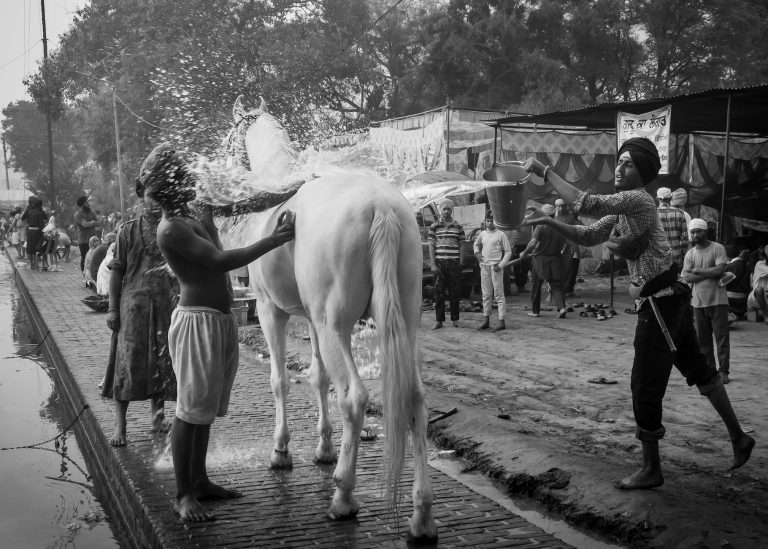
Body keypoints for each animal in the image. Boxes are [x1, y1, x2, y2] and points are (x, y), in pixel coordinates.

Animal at [213, 97, 438, 540]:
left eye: (230, 137)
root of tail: (381, 206)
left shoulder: (271, 311)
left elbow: (281, 380)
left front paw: (282, 450)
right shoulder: (312, 320)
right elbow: (316, 378)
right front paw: (323, 448)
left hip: (336, 327)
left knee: (353, 396)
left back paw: (343, 497)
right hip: (403, 324)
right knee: (415, 400)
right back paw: (421, 515)